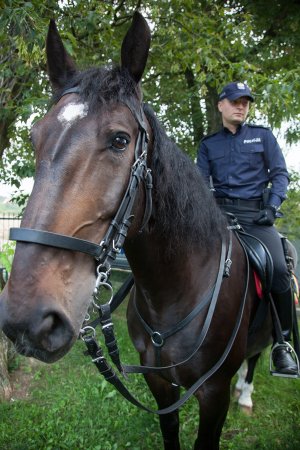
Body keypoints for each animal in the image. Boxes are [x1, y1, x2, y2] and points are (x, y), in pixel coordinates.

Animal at [0, 11, 296, 450]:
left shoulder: (213, 395)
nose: (27, 319)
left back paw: (250, 390)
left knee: (257, 355)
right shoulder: (160, 387)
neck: (173, 293)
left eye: (120, 140)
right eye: (35, 137)